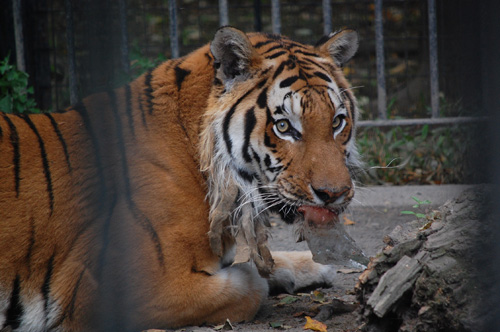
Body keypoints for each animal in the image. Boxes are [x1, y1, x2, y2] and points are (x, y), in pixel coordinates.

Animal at [0, 26, 360, 332]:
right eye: (284, 127)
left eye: (337, 122)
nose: (335, 193)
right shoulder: (115, 290)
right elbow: (250, 283)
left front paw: (313, 266)